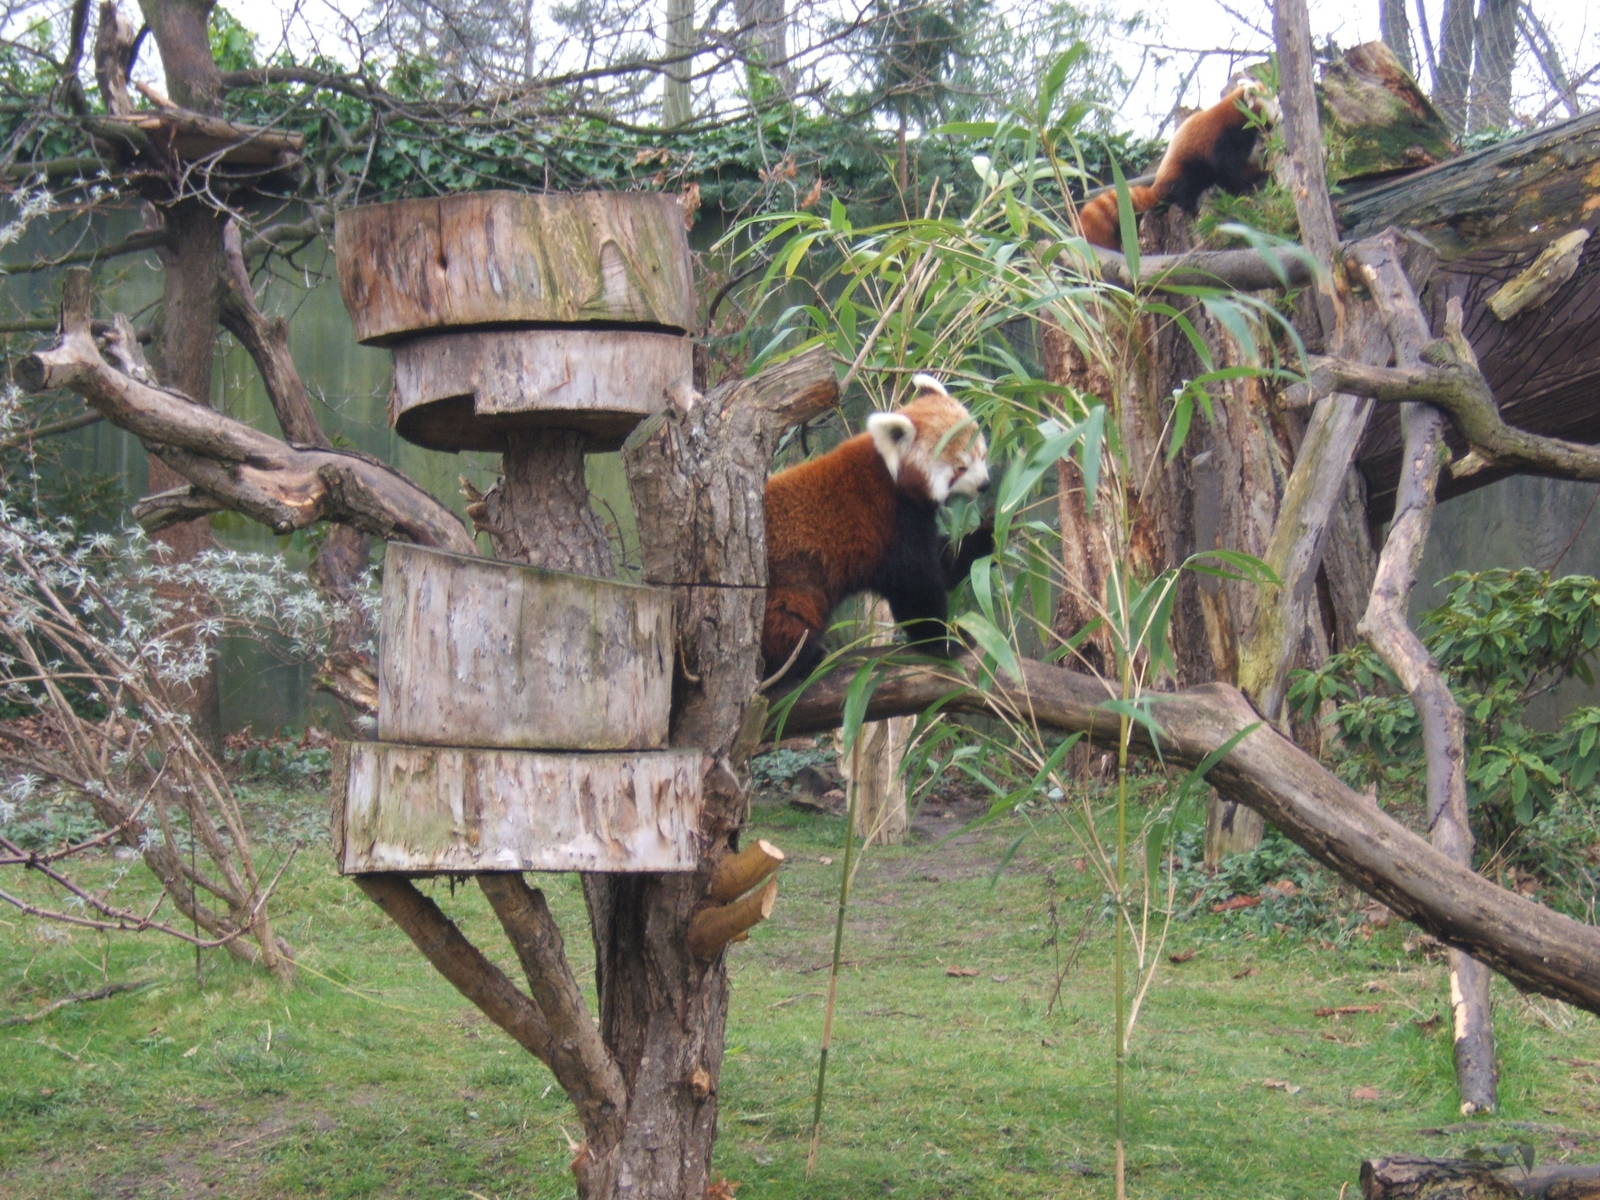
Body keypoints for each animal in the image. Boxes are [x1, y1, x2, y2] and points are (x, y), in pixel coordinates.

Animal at [761, 374, 992, 683]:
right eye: (961, 468)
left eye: (982, 453)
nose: (985, 485)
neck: (891, 474)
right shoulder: (888, 523)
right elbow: (916, 588)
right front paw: (944, 641)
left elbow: (944, 562)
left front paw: (988, 535)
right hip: (786, 582)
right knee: (788, 619)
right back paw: (798, 662)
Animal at [1076, 79, 1278, 250]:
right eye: (1275, 105)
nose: (1281, 115)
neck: (1237, 115)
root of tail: (1158, 185)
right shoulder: (1222, 139)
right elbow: (1230, 171)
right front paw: (1255, 179)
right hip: (1184, 171)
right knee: (1185, 191)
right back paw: (1190, 206)